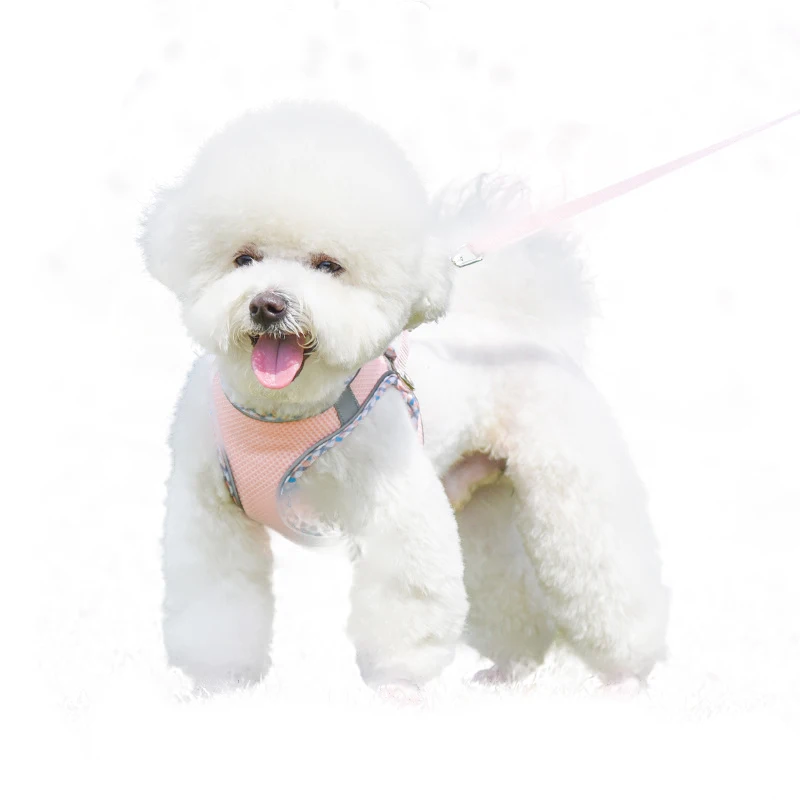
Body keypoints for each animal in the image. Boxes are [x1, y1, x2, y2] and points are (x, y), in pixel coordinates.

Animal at [140, 101, 669, 692]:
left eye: (329, 266)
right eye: (243, 259)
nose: (268, 304)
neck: (282, 415)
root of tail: (523, 329)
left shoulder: (395, 503)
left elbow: (405, 596)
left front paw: (398, 684)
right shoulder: (209, 514)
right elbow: (217, 602)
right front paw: (221, 684)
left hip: (572, 496)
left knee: (606, 579)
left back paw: (626, 676)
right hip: (481, 510)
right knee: (508, 586)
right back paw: (511, 668)